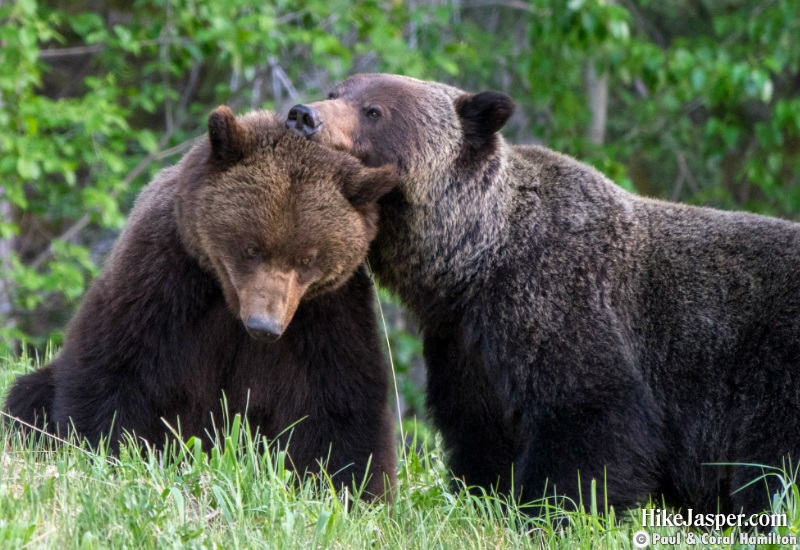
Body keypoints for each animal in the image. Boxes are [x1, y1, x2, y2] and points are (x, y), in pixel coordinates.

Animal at [2, 106, 396, 500]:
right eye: (251, 248)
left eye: (307, 259)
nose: (264, 326)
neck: (228, 297)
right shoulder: (166, 275)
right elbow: (116, 364)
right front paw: (108, 451)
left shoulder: (324, 312)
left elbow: (339, 402)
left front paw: (348, 487)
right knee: (29, 392)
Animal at [288, 74, 800, 516]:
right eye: (335, 91)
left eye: (374, 110)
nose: (302, 115)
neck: (473, 267)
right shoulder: (465, 348)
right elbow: (481, 434)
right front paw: (487, 498)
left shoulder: (558, 301)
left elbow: (590, 416)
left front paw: (549, 510)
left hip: (768, 375)